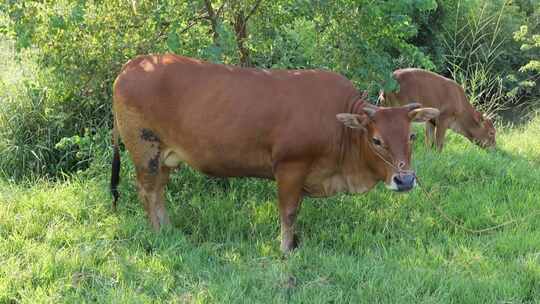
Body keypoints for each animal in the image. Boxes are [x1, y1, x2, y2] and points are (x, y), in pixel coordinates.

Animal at [109, 54, 438, 252]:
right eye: (377, 140)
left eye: (411, 136)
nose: (405, 180)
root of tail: (131, 65)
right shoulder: (290, 167)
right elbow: (289, 212)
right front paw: (286, 249)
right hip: (145, 149)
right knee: (148, 191)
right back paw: (158, 234)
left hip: (164, 156)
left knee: (159, 191)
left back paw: (168, 230)